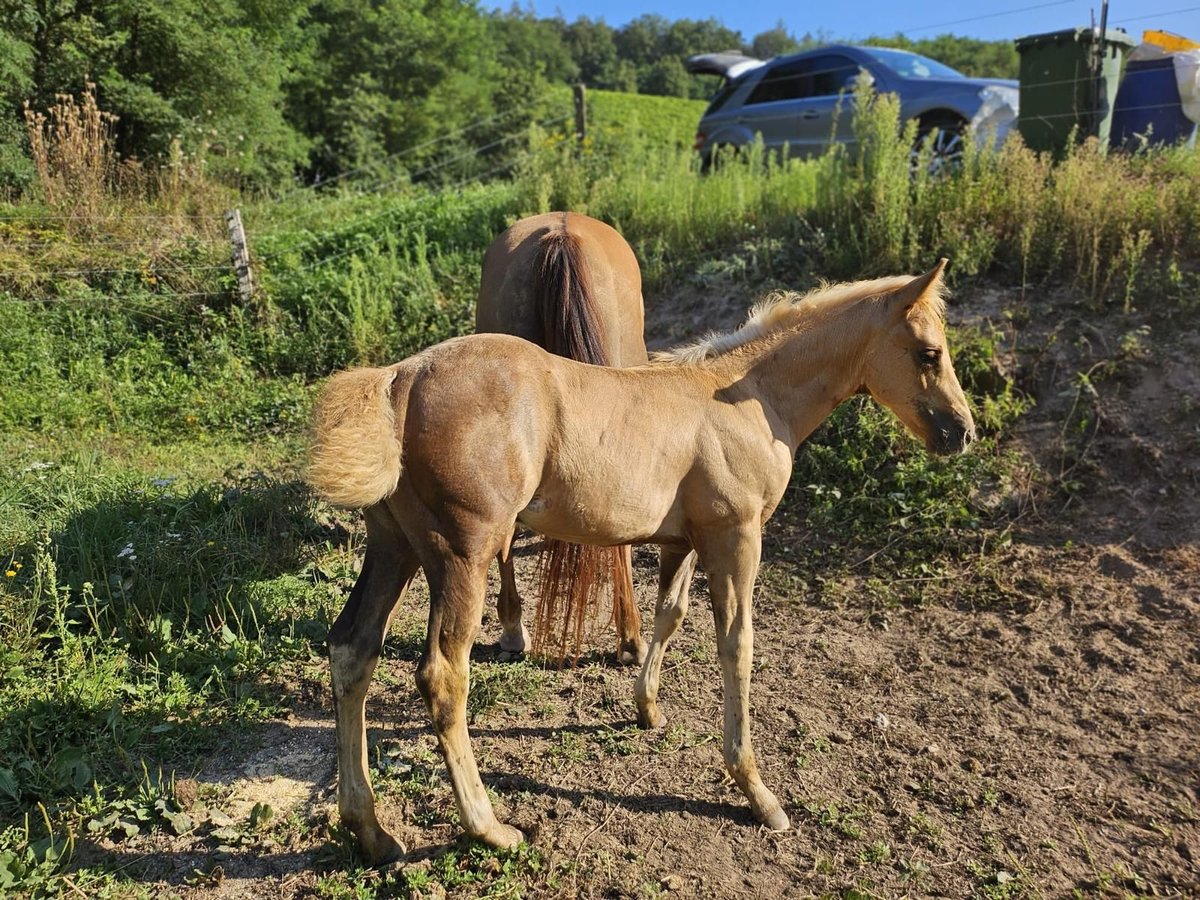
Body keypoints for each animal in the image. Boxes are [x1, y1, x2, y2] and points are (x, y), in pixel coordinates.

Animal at [309, 256, 974, 864]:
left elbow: (670, 614)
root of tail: (401, 380)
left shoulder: (684, 539)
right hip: (463, 554)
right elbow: (737, 646)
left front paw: (647, 708)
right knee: (444, 677)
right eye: (929, 353)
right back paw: (490, 828)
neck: (747, 397)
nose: (962, 432)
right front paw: (757, 792)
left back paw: (369, 829)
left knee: (352, 649)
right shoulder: (737, 537)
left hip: (394, 546)